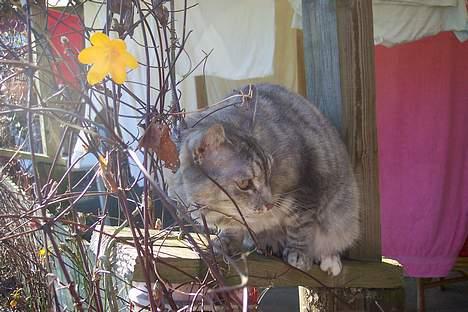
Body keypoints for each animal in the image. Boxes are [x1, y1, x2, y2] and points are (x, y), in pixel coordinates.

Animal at [167, 83, 358, 276]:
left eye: (269, 172)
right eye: (244, 184)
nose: (270, 204)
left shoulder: (307, 184)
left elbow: (300, 224)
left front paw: (299, 254)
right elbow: (232, 228)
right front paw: (226, 243)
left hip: (342, 212)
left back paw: (329, 259)